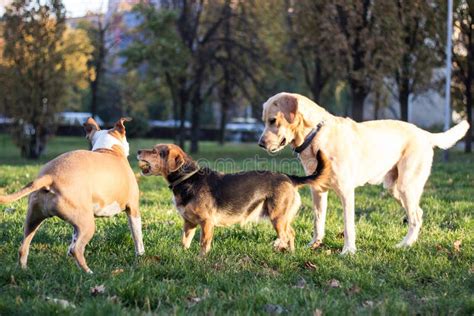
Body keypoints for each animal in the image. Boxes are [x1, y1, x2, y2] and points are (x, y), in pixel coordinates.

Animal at [0, 117, 143, 272]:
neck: (109, 149)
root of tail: (49, 176)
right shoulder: (133, 209)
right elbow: (137, 236)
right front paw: (140, 256)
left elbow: (74, 236)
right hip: (87, 224)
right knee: (77, 249)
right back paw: (89, 272)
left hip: (34, 219)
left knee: (23, 247)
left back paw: (24, 269)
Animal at [137, 144, 330, 256]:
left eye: (155, 151)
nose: (138, 151)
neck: (188, 178)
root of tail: (289, 177)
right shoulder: (189, 223)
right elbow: (185, 242)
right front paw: (182, 256)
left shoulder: (206, 223)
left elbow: (203, 244)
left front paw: (201, 260)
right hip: (281, 218)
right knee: (291, 234)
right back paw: (290, 254)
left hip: (277, 217)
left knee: (287, 235)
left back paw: (279, 247)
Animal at [260, 92, 470, 254]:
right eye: (265, 121)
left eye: (273, 120)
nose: (260, 144)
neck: (316, 135)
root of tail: (424, 133)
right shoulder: (318, 191)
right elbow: (318, 221)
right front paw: (314, 244)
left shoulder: (346, 192)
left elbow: (348, 226)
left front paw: (348, 251)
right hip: (394, 188)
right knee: (417, 213)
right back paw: (408, 243)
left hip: (406, 186)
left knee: (415, 217)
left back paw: (405, 245)